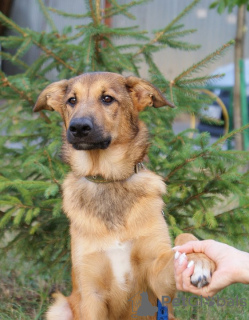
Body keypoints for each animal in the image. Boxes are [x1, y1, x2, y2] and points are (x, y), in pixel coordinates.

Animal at [33, 72, 216, 320]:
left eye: (107, 98)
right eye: (72, 100)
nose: (78, 127)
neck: (108, 180)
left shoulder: (157, 280)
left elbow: (185, 237)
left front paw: (199, 261)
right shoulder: (91, 294)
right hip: (59, 307)